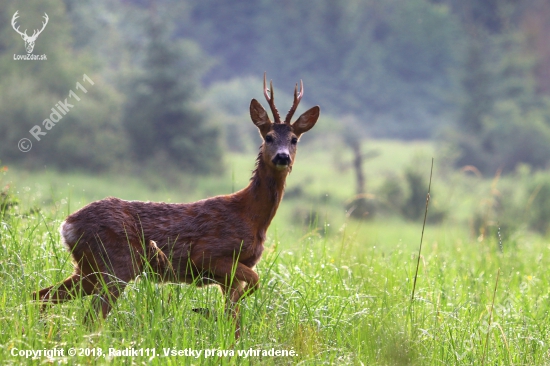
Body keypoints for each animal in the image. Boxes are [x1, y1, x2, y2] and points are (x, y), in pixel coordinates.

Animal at [33, 73, 320, 338]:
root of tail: (67, 225)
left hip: (89, 268)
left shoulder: (233, 271)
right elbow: (253, 285)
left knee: (42, 295)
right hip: (116, 265)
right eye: (269, 136)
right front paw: (208, 313)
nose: (282, 157)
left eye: (294, 139)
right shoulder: (209, 254)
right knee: (90, 319)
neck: (250, 215)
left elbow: (236, 317)